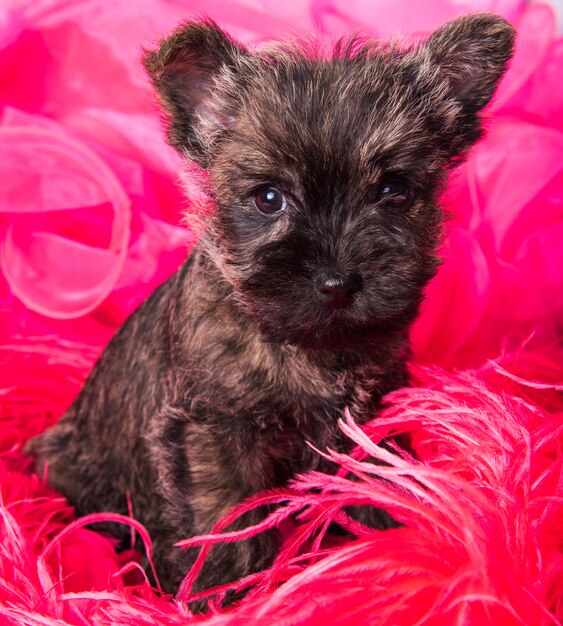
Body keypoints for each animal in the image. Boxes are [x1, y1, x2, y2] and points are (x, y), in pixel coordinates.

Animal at [27, 14, 516, 596]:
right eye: (268, 198)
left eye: (393, 190)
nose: (337, 280)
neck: (306, 348)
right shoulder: (215, 432)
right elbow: (226, 517)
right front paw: (228, 591)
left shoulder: (370, 412)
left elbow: (376, 474)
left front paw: (388, 539)